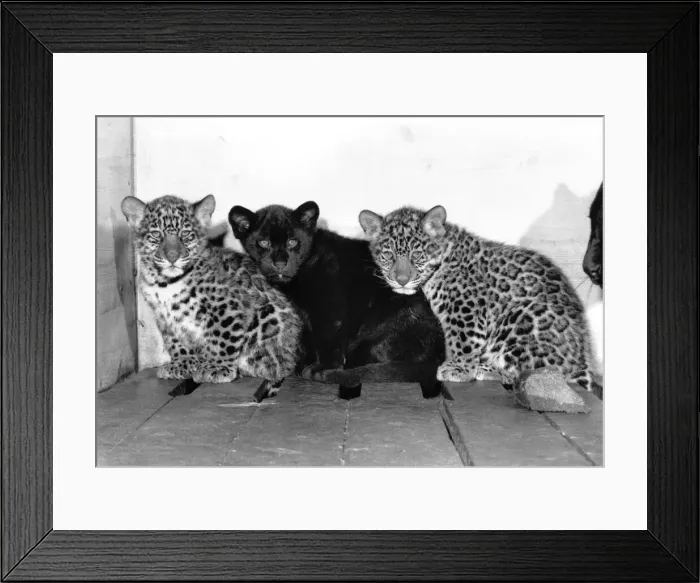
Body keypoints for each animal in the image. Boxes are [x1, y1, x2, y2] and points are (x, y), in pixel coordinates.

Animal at [121, 194, 303, 402]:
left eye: (186, 234)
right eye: (157, 235)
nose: (173, 256)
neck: (165, 282)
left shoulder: (225, 307)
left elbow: (222, 337)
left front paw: (218, 367)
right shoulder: (164, 315)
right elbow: (174, 340)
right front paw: (182, 362)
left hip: (266, 317)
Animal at [359, 204, 600, 395]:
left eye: (417, 255)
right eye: (388, 255)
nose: (401, 280)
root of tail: (582, 364)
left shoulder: (464, 307)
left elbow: (462, 340)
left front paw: (458, 369)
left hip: (520, 316)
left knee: (543, 375)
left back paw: (488, 370)